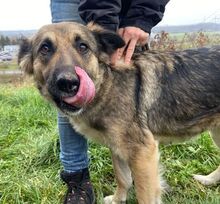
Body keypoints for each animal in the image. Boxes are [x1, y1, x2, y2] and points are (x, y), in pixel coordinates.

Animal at [18, 21, 220, 203]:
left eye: (83, 47)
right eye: (45, 48)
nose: (68, 83)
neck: (107, 84)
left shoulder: (143, 154)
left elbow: (144, 195)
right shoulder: (117, 147)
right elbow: (123, 178)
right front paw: (118, 199)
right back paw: (208, 180)